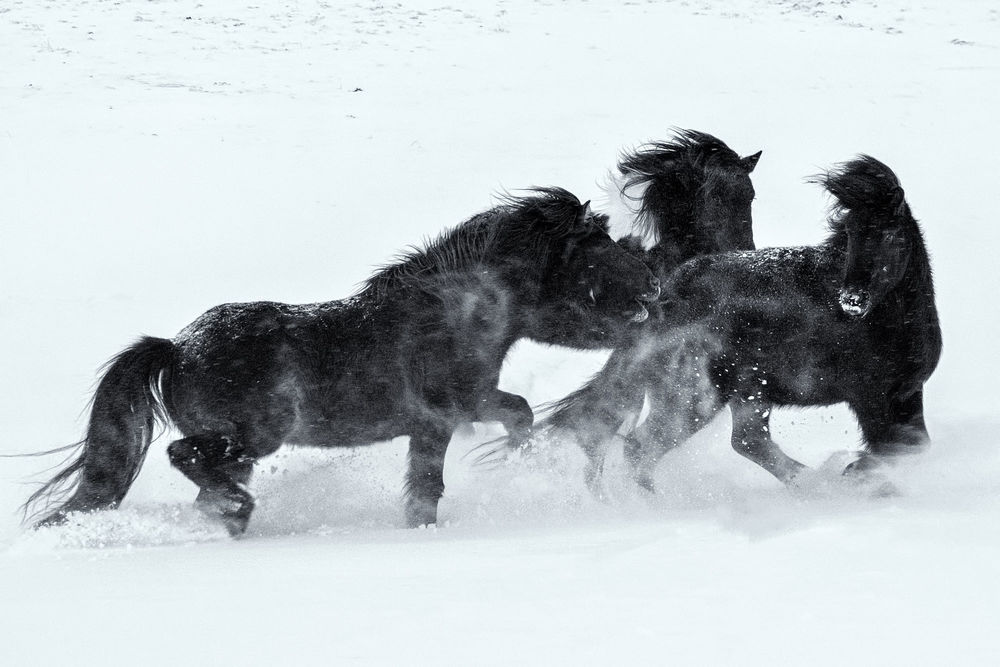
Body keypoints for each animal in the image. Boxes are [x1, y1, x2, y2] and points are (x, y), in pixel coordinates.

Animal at [25, 187, 659, 535]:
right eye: (593, 255)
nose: (652, 285)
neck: (449, 315)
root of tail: (176, 349)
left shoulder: (439, 422)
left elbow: (433, 484)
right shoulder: (453, 409)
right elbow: (511, 419)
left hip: (244, 450)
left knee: (207, 488)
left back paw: (234, 517)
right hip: (252, 438)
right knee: (187, 457)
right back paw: (239, 509)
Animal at [547, 155, 941, 495]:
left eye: (892, 236)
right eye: (850, 234)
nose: (852, 299)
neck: (891, 322)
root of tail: (665, 301)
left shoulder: (905, 392)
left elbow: (915, 446)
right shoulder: (869, 397)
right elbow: (893, 451)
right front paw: (860, 477)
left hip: (745, 392)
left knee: (747, 441)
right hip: (696, 399)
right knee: (642, 449)